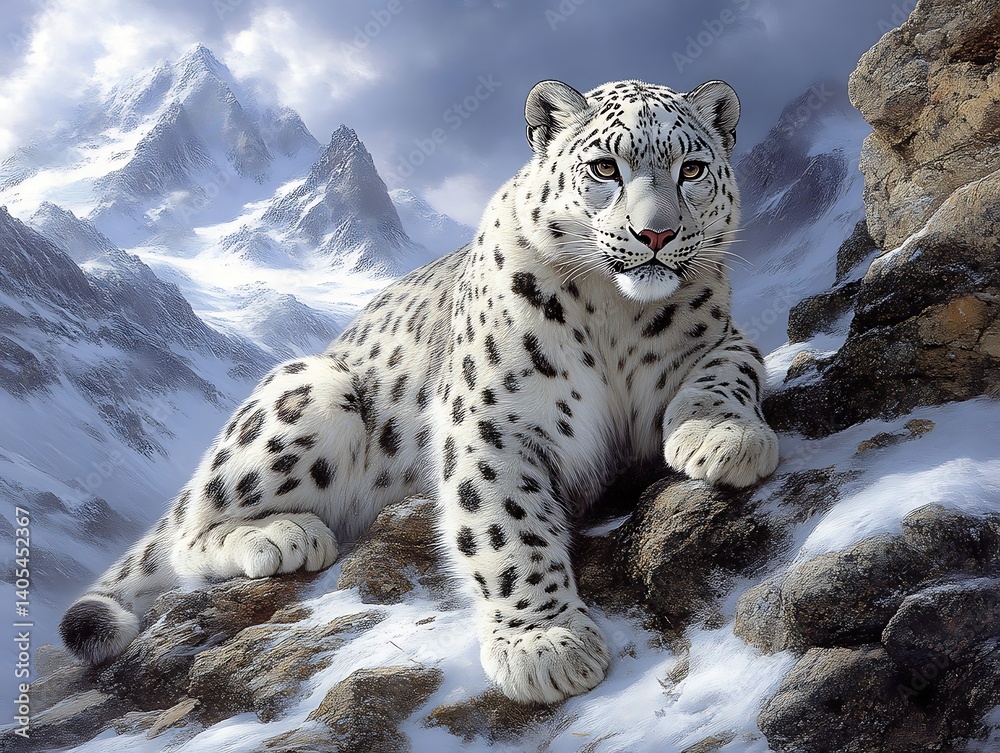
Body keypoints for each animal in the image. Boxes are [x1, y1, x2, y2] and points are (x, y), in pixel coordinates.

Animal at [60, 77, 779, 705]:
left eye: (691, 169)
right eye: (605, 168)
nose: (656, 234)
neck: (617, 316)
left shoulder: (727, 338)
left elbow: (727, 373)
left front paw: (720, 437)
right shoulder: (493, 420)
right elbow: (507, 527)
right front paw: (543, 642)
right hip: (314, 391)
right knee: (189, 528)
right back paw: (285, 535)